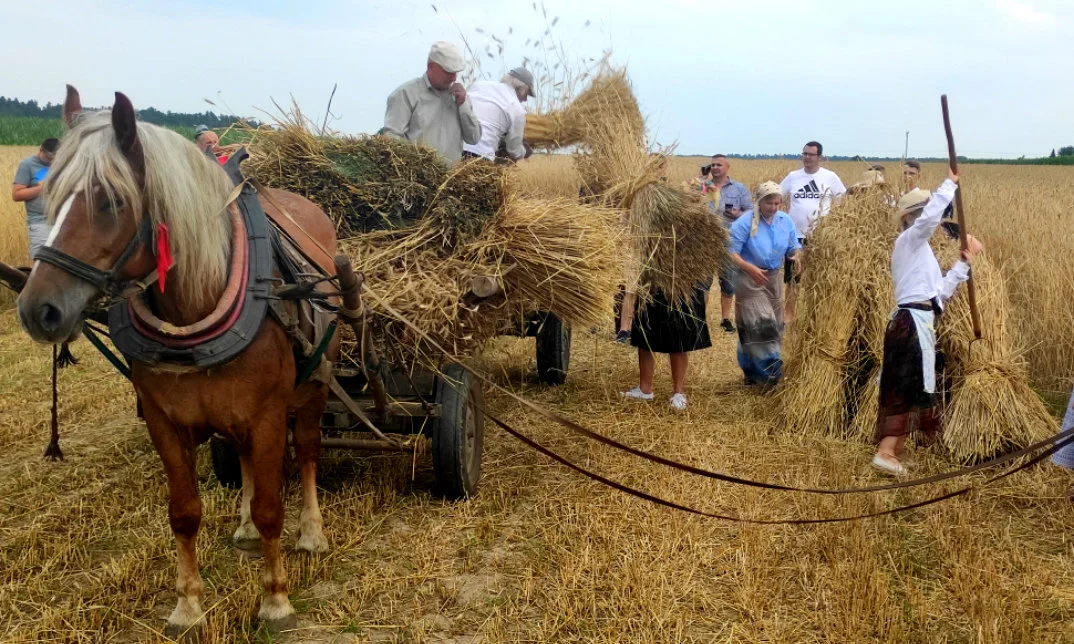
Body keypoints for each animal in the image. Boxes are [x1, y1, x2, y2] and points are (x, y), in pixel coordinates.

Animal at [16, 85, 335, 639]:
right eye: (50, 196)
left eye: (111, 200)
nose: (39, 310)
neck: (197, 305)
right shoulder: (165, 420)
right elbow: (184, 512)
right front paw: (187, 606)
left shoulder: (269, 414)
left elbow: (272, 506)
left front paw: (276, 600)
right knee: (244, 460)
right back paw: (244, 530)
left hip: (314, 381)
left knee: (311, 449)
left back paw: (311, 531)